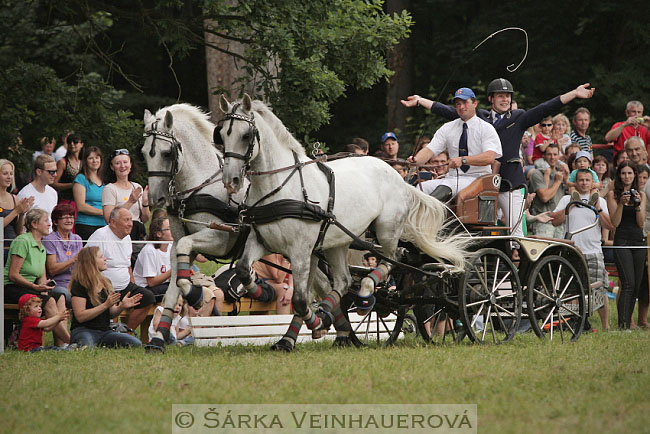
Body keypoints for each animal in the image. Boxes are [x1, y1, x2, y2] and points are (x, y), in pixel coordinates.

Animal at [220, 93, 468, 340]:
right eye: (221, 135)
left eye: (246, 135)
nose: (231, 181)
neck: (280, 187)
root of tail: (398, 176)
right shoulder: (261, 240)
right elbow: (243, 270)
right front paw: (256, 291)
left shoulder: (300, 250)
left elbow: (300, 299)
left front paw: (315, 321)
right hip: (338, 241)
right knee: (343, 281)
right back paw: (331, 312)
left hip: (387, 230)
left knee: (393, 257)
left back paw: (366, 295)